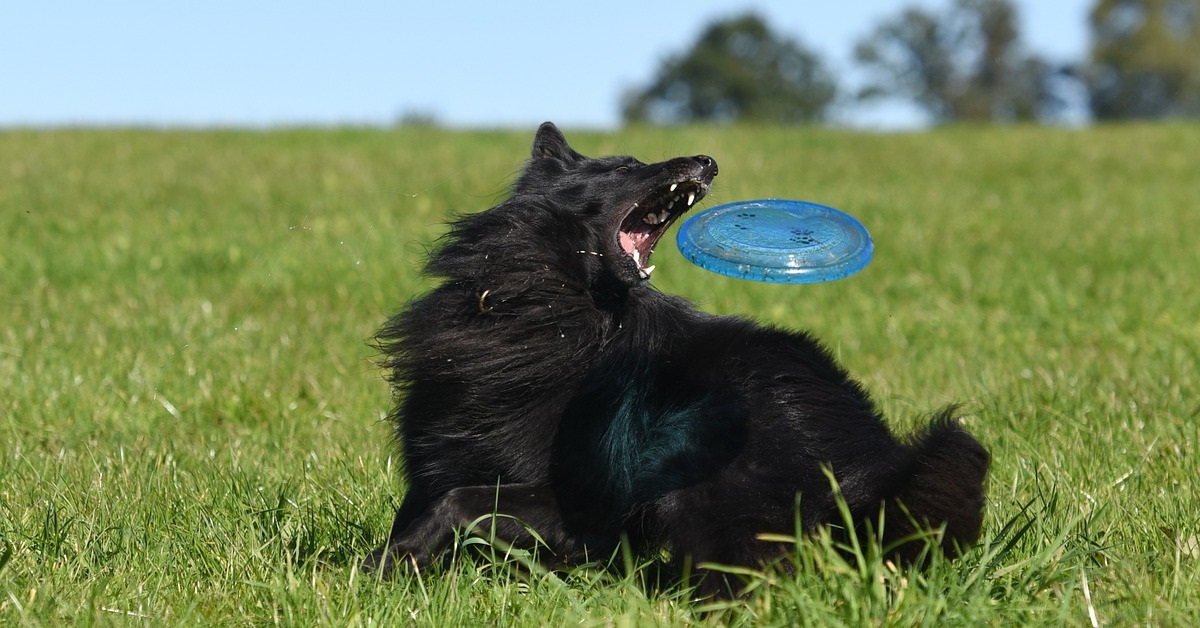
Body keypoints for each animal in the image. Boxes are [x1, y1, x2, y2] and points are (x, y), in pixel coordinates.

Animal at [367, 124, 993, 595]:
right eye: (625, 164)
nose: (709, 160)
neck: (558, 306)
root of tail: (872, 467)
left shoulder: (583, 509)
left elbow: (461, 501)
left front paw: (399, 560)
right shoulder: (437, 454)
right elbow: (428, 502)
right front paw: (377, 568)